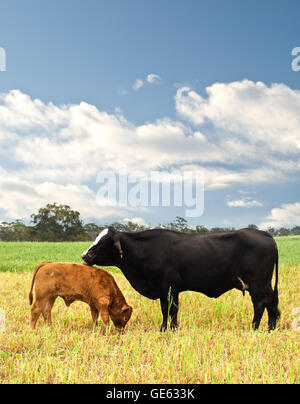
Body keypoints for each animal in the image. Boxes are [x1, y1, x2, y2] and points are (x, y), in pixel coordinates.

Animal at [81, 227, 280, 332]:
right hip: (262, 284)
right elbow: (164, 310)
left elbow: (173, 309)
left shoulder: (171, 286)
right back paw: (271, 328)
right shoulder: (162, 289)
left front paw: (173, 328)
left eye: (103, 242)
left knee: (261, 304)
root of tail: (264, 234)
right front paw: (163, 328)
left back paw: (255, 328)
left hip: (257, 283)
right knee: (271, 303)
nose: (84, 255)